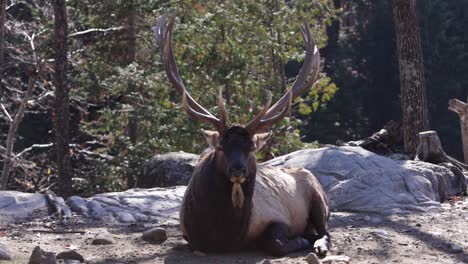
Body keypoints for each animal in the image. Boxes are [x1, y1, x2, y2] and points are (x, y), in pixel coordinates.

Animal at [154, 14, 330, 258]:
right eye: (220, 146)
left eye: (251, 148)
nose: (238, 169)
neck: (226, 234)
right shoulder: (189, 235)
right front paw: (302, 238)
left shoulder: (279, 216)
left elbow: (275, 242)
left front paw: (301, 239)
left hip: (318, 198)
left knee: (325, 230)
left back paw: (318, 244)